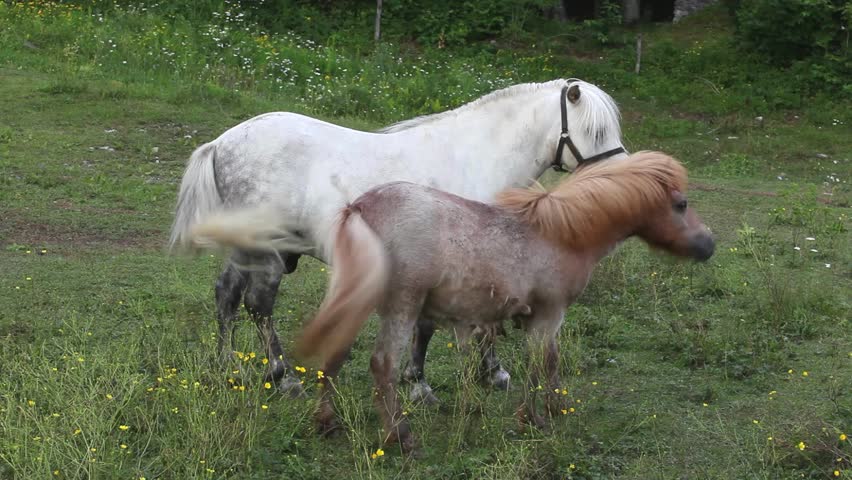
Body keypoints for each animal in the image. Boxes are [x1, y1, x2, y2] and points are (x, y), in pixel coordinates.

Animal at [169, 78, 628, 397]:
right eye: (595, 131)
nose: (619, 177)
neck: (476, 158)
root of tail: (222, 143)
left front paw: (479, 374)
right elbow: (444, 325)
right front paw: (426, 382)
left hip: (245, 248)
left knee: (227, 296)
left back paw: (227, 365)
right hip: (267, 250)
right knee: (258, 304)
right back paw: (282, 378)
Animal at [188, 151, 715, 453]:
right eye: (681, 204)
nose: (708, 245)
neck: (557, 233)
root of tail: (360, 207)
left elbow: (538, 363)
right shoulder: (548, 315)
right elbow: (543, 364)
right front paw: (539, 418)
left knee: (335, 352)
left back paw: (327, 424)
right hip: (398, 305)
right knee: (381, 365)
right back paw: (399, 436)